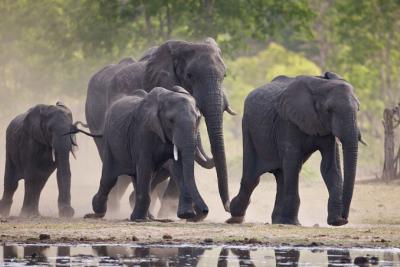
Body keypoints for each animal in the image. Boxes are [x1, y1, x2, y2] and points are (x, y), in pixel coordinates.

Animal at [85, 86, 209, 222]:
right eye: (171, 120)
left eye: (198, 119)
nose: (205, 211)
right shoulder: (143, 131)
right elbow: (145, 166)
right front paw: (138, 219)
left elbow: (179, 168)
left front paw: (186, 214)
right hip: (110, 143)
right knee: (109, 178)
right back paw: (98, 212)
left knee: (139, 178)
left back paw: (149, 216)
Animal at [228, 72, 362, 227]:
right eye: (329, 110)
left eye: (358, 109)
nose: (344, 218)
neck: (321, 85)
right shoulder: (288, 121)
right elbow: (293, 161)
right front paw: (293, 223)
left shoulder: (327, 130)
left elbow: (329, 166)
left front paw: (336, 222)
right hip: (248, 127)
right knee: (252, 178)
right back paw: (235, 216)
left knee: (281, 176)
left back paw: (277, 221)